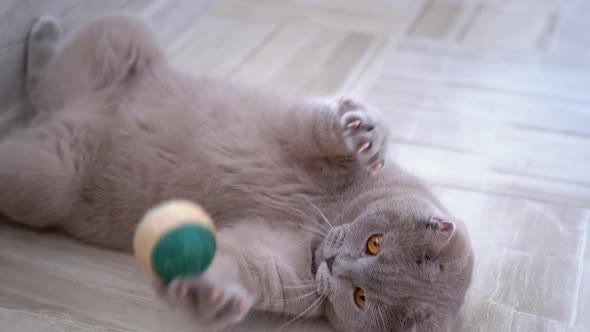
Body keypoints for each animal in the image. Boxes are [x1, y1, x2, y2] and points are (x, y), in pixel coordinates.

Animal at [0, 13, 474, 332]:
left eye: (359, 297)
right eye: (376, 243)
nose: (335, 263)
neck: (323, 219)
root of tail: (62, 118)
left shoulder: (279, 267)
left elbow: (239, 261)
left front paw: (210, 295)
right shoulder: (305, 138)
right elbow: (320, 131)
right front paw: (361, 133)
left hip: (42, 177)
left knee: (40, 102)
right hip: (120, 36)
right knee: (44, 82)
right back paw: (43, 31)